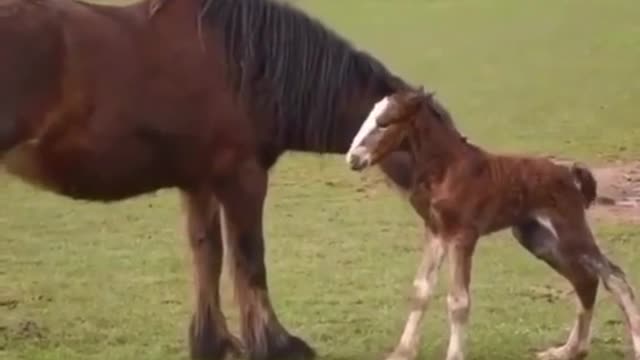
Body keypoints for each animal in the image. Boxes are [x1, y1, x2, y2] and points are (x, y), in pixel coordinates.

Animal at [1, 0, 424, 360]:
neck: (249, 68)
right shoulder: (243, 178)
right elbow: (249, 259)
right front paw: (276, 345)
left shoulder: (200, 182)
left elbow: (208, 256)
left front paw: (212, 343)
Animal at [344, 87, 640, 360]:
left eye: (385, 122)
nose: (353, 159)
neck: (446, 169)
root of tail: (570, 174)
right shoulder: (436, 232)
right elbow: (421, 290)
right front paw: (403, 352)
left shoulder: (463, 235)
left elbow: (459, 300)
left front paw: (454, 356)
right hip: (537, 239)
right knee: (585, 280)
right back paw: (567, 351)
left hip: (570, 232)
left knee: (614, 276)